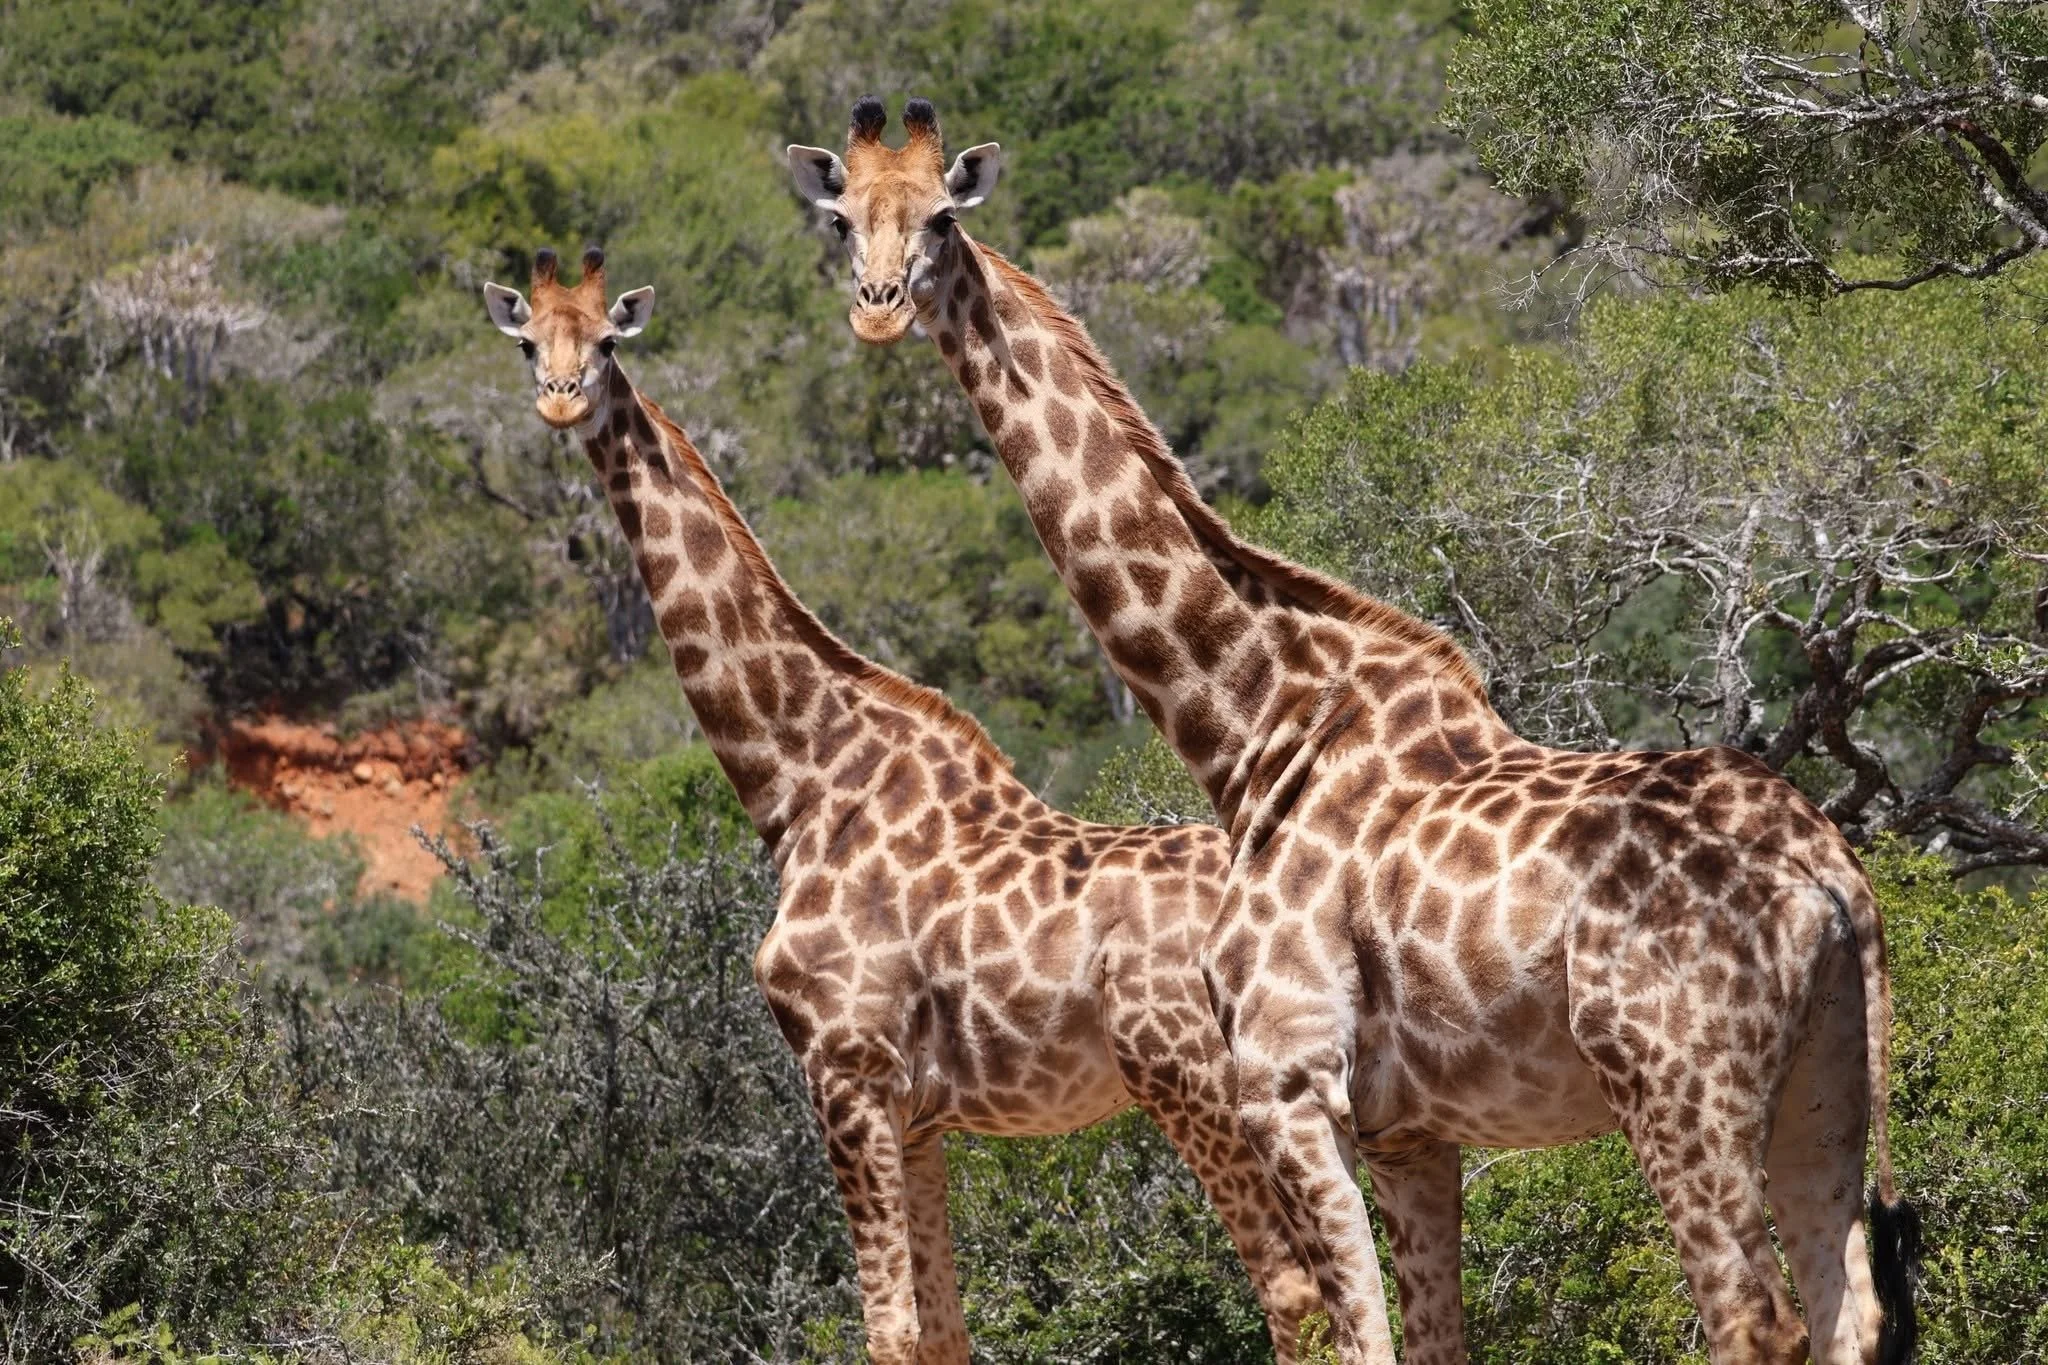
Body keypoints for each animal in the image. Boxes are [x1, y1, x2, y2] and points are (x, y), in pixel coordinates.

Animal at [479, 246, 1323, 1363]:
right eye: (528, 341)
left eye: (609, 340)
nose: (562, 398)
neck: (801, 782)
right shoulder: (915, 1114)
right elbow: (942, 1333)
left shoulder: (843, 1071)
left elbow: (886, 1331)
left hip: (1189, 1077)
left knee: (1295, 1290)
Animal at [787, 98, 1922, 1365]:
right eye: (841, 220)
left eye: (940, 217)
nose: (877, 306)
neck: (1253, 730)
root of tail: (1828, 876)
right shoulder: (1407, 1129)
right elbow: (1427, 1339)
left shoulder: (1286, 1084)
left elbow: (1358, 1335)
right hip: (1825, 1079)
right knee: (1848, 1307)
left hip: (1675, 1082)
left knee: (1749, 1318)